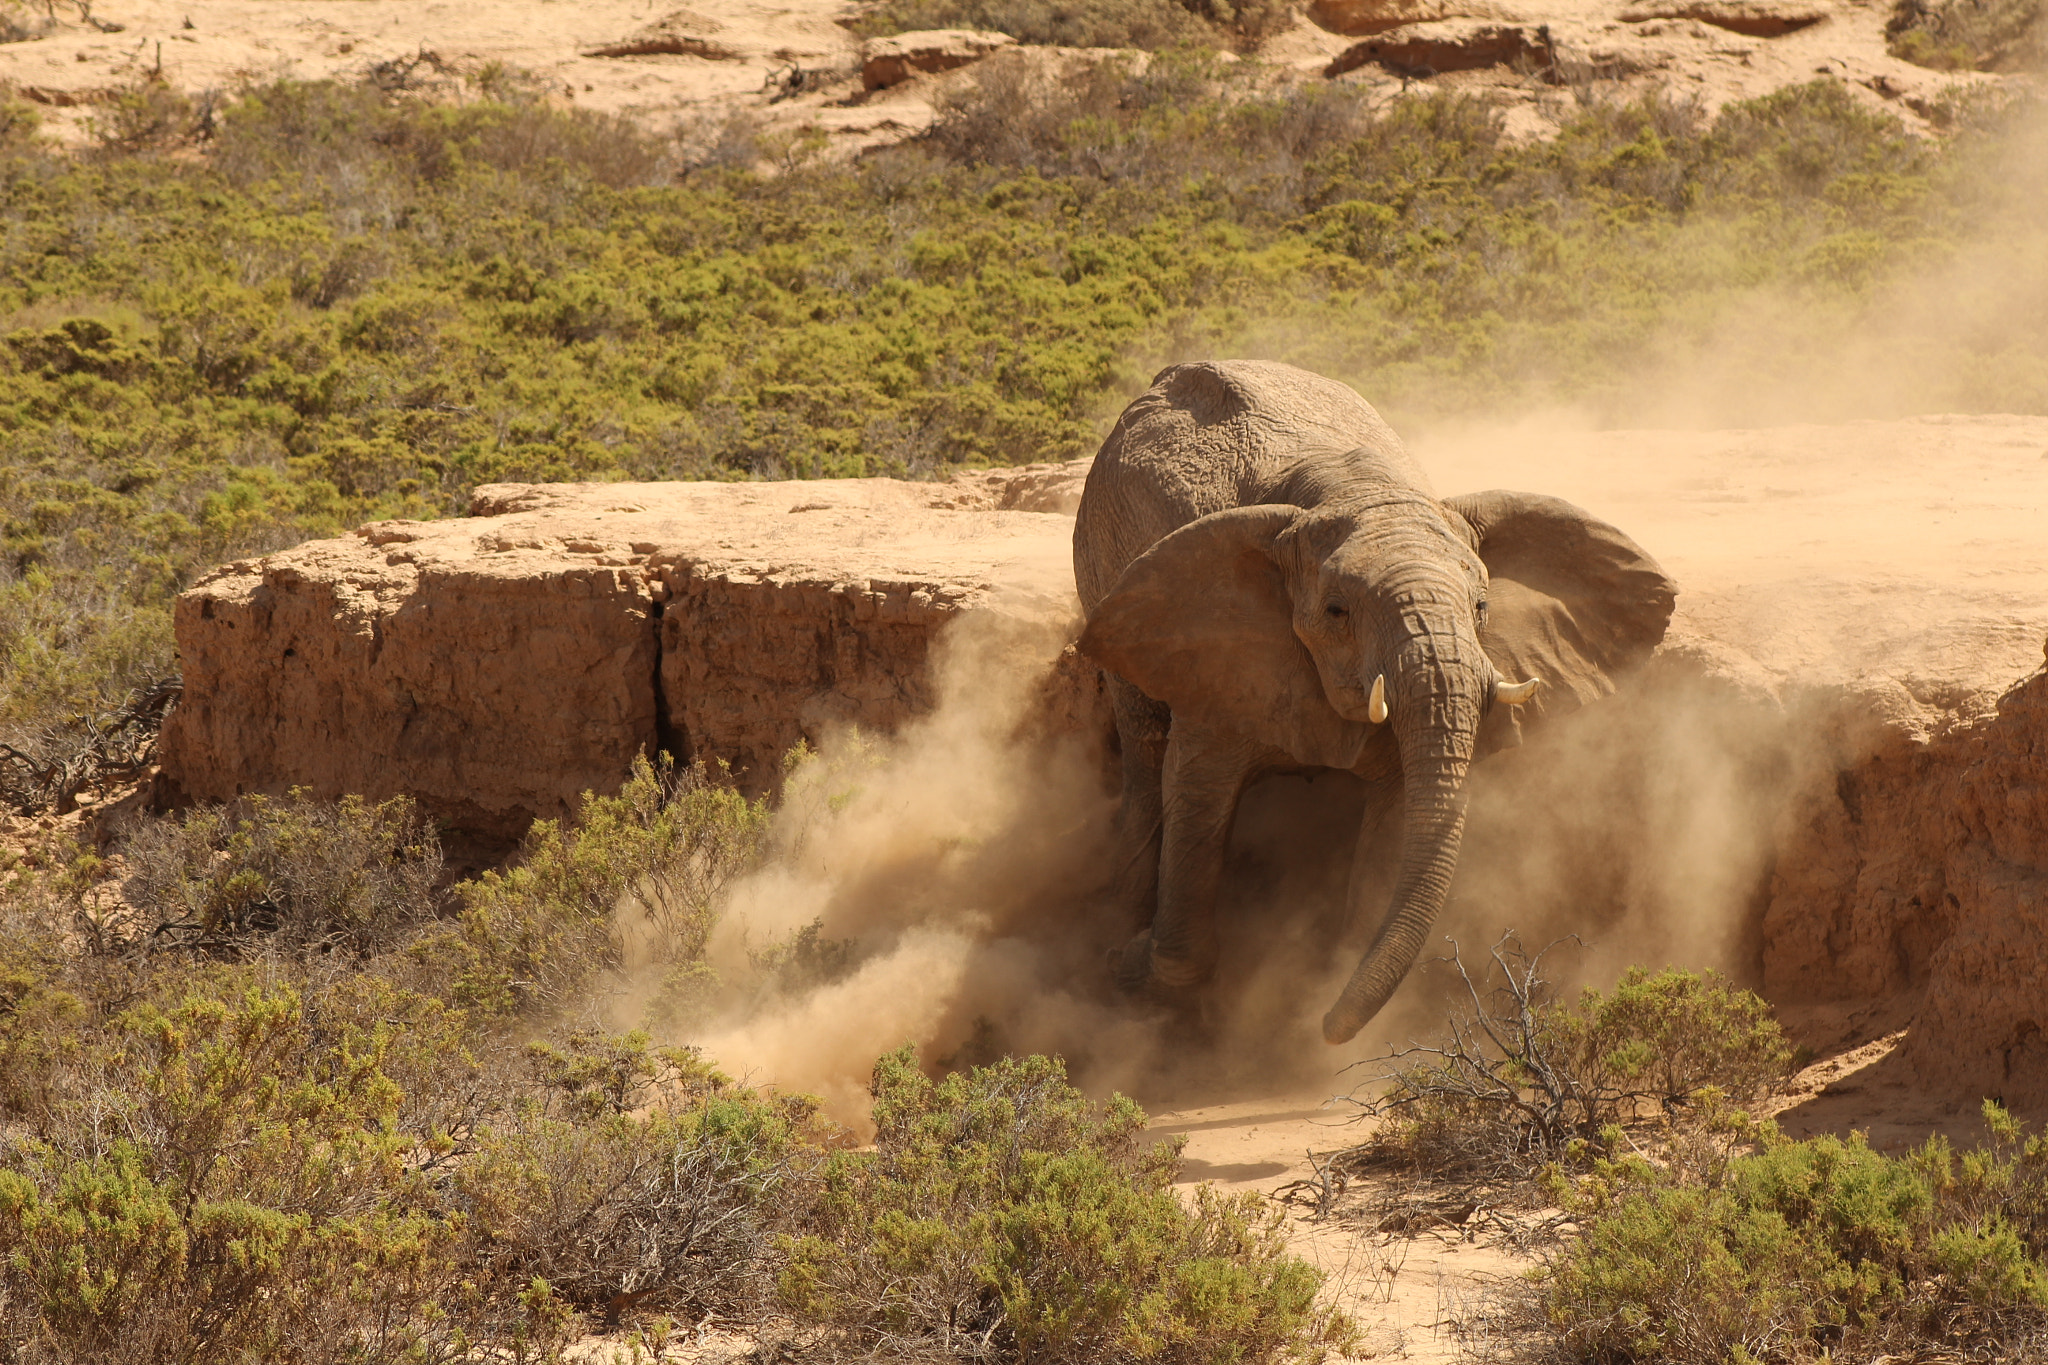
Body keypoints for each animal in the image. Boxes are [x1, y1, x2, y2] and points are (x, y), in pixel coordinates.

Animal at [1072, 361, 1677, 1044]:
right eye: (1338, 612)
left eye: (1481, 608)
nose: (1327, 1026)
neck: (1350, 487)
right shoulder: (1214, 647)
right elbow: (1197, 794)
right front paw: (1142, 975)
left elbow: (1397, 817)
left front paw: (1323, 1002)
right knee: (1146, 752)